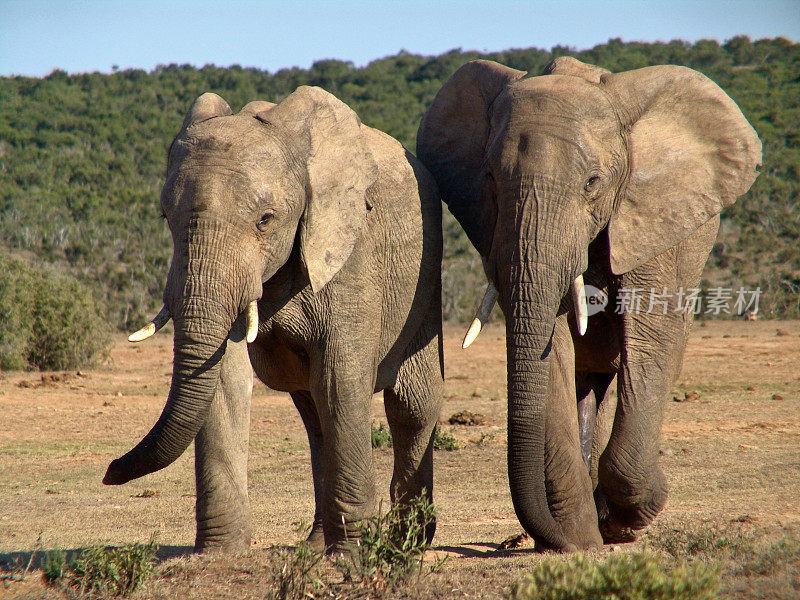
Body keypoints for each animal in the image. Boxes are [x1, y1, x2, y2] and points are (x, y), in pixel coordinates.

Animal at [101, 84, 444, 552]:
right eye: (165, 217)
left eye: (266, 220)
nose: (108, 471)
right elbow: (225, 380)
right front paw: (219, 554)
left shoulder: (349, 247)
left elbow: (340, 378)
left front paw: (354, 553)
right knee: (315, 413)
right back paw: (319, 545)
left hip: (425, 282)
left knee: (411, 405)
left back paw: (405, 543)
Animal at [418, 57, 764, 552]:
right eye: (490, 180)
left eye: (592, 182)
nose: (555, 540)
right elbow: (555, 345)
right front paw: (580, 542)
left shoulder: (658, 221)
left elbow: (652, 336)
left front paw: (628, 520)